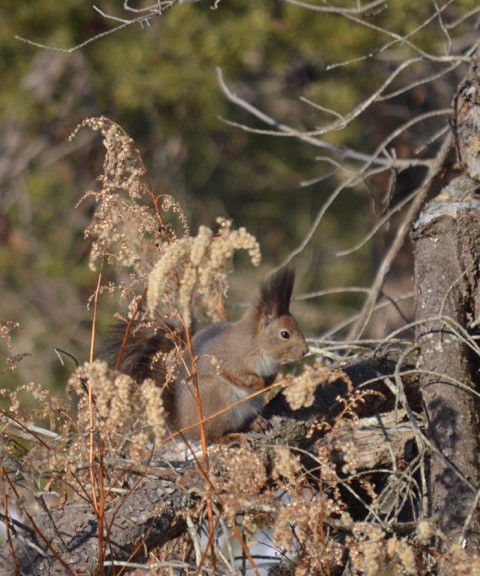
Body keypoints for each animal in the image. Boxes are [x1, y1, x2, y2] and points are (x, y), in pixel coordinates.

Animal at [112, 266, 308, 440]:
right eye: (285, 334)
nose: (306, 351)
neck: (259, 346)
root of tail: (185, 425)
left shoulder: (271, 368)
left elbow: (270, 377)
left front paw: (271, 384)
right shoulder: (231, 358)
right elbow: (238, 374)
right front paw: (259, 383)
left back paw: (256, 423)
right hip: (216, 396)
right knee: (213, 435)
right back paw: (230, 437)